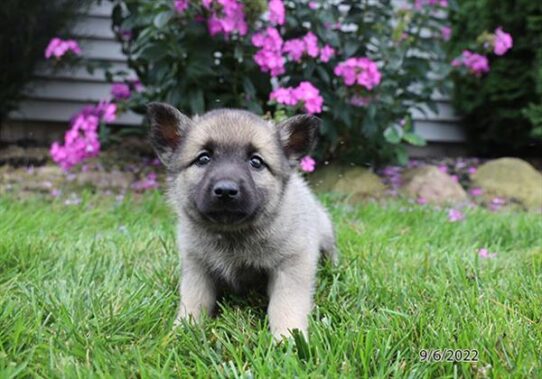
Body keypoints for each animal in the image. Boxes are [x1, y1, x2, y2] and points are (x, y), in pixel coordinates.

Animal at [147, 102, 338, 340]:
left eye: (256, 162)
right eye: (203, 158)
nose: (226, 191)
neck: (231, 234)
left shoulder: (292, 265)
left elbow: (285, 304)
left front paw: (288, 337)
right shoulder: (197, 267)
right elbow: (194, 300)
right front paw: (182, 331)